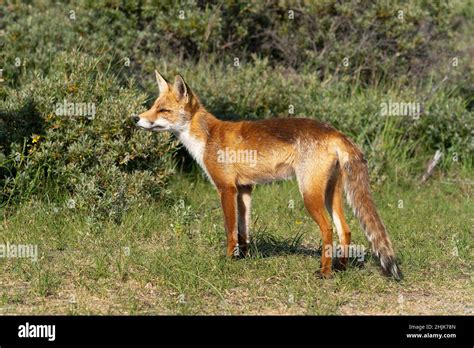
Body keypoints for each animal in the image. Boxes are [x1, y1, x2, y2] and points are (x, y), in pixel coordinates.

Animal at [134, 70, 404, 280]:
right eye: (153, 106)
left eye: (163, 110)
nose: (136, 118)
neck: (207, 137)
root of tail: (335, 132)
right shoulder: (244, 189)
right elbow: (243, 230)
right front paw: (242, 257)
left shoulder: (226, 188)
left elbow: (230, 230)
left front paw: (227, 260)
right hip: (331, 194)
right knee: (344, 230)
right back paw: (341, 269)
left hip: (309, 195)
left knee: (328, 229)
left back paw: (325, 272)